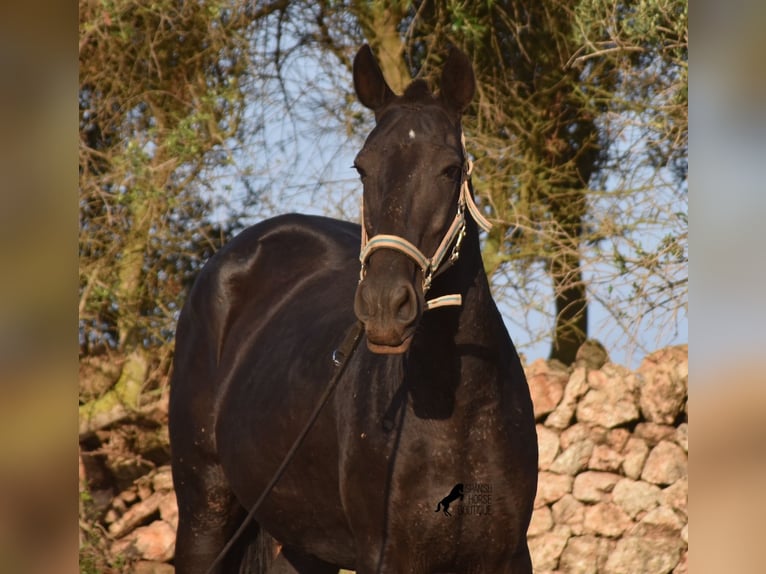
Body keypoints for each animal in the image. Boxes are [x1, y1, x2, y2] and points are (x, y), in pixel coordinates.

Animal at [170, 45, 536, 574]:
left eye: (451, 169)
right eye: (362, 167)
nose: (384, 305)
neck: (459, 417)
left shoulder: (508, 557)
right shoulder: (386, 558)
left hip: (301, 543)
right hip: (205, 513)